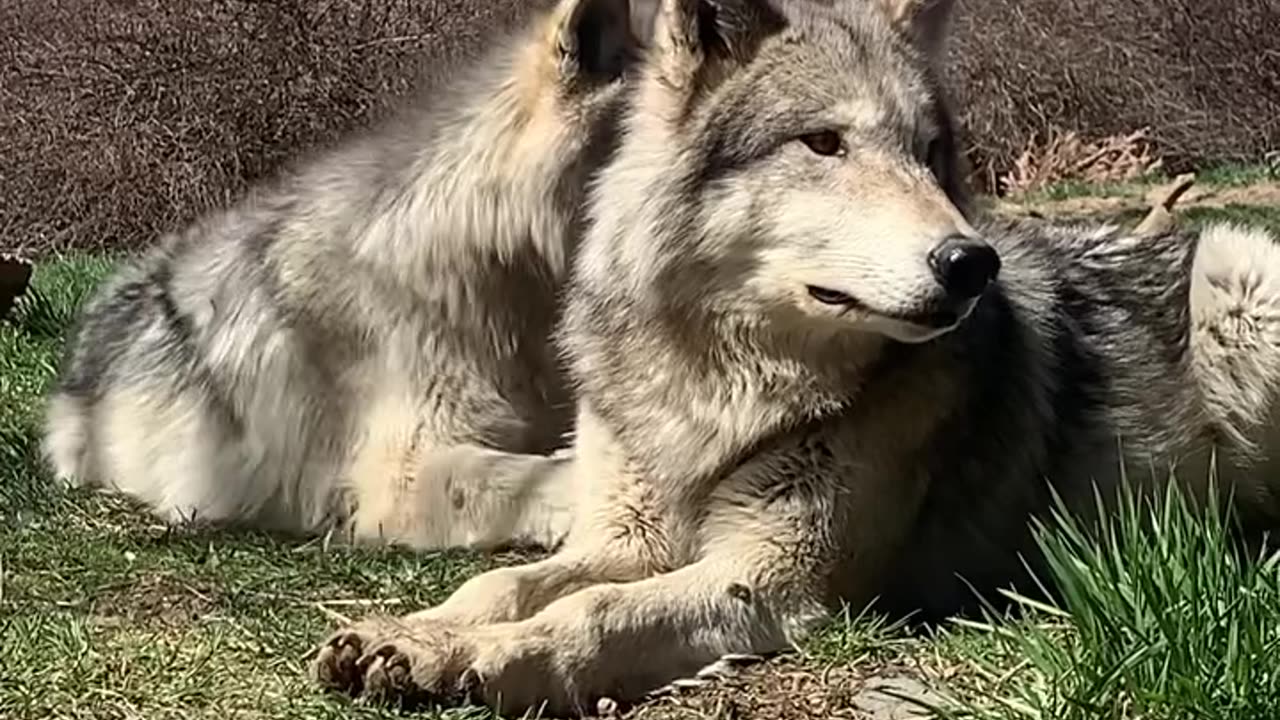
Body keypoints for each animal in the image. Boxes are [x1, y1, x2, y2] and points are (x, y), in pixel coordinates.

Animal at [307, 0, 1280, 712]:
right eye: (824, 143)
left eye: (930, 154)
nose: (972, 263)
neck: (714, 382)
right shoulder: (624, 538)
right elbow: (504, 581)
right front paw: (419, 634)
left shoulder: (772, 578)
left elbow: (593, 610)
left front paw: (495, 660)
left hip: (1239, 277)